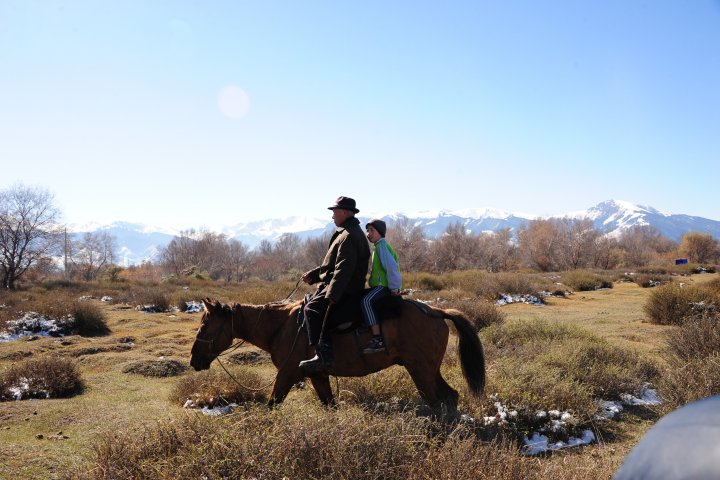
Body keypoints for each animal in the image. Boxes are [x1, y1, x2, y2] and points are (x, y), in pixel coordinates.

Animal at [188, 298, 486, 410]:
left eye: (205, 324)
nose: (193, 360)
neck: (281, 327)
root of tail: (435, 311)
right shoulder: (318, 375)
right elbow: (329, 404)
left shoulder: (287, 373)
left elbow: (272, 403)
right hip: (429, 370)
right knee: (450, 397)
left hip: (420, 370)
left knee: (437, 402)